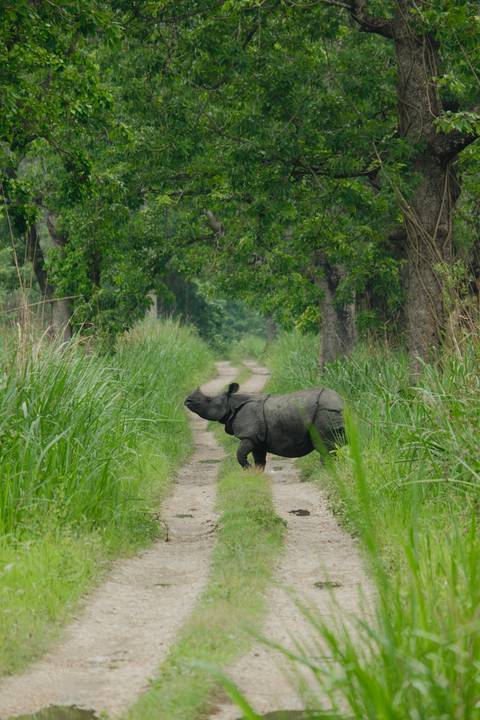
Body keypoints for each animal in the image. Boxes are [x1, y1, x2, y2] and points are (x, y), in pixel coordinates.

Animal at [184, 382, 344, 470]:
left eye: (209, 399)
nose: (187, 400)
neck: (231, 404)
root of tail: (340, 401)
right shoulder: (258, 440)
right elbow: (259, 461)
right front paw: (256, 474)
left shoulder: (249, 435)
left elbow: (240, 455)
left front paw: (247, 470)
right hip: (333, 412)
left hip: (325, 411)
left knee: (326, 445)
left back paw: (327, 471)